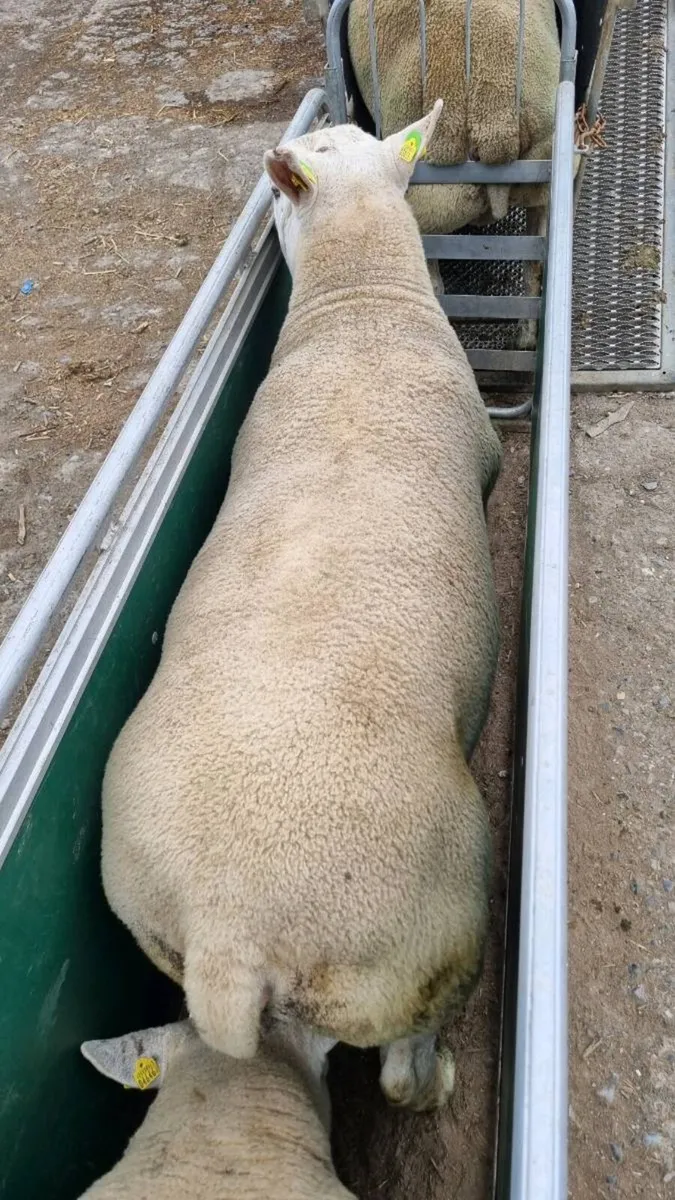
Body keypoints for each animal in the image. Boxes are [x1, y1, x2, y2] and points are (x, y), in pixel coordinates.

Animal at [101, 100, 502, 1115]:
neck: (361, 309)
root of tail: (228, 927)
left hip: (156, 925)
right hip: (422, 945)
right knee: (398, 1069)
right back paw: (436, 1079)